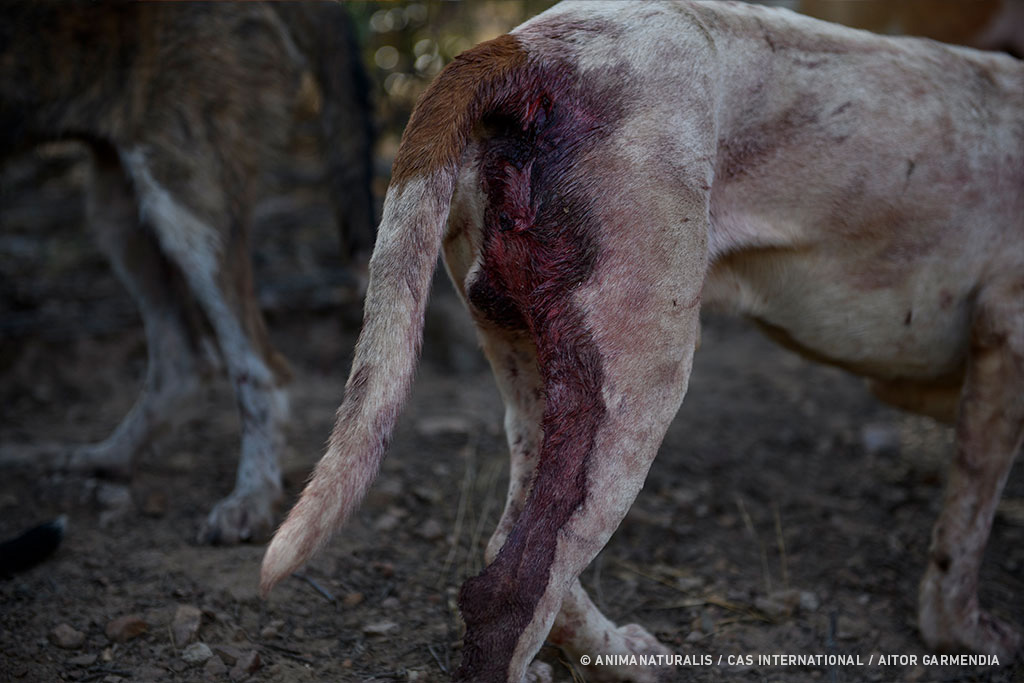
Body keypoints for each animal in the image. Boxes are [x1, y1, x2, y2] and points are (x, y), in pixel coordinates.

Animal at [0, 0, 376, 544]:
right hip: (121, 210)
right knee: (183, 361)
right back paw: (112, 457)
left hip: (188, 198)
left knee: (259, 365)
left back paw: (249, 500)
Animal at [266, 0, 1024, 679]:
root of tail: (531, 48)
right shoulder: (1006, 342)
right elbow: (969, 519)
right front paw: (962, 633)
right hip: (639, 382)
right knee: (509, 590)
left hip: (541, 376)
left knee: (522, 545)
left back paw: (617, 656)